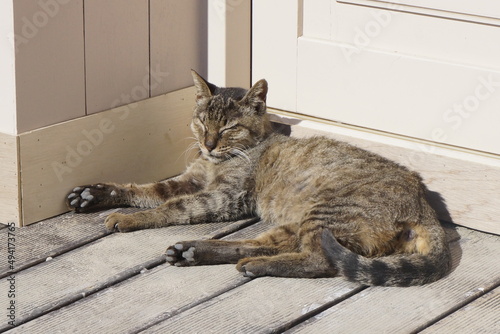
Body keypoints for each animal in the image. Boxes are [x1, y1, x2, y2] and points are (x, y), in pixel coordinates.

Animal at [64, 69, 452, 286]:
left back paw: (249, 264)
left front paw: (128, 219)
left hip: (324, 215)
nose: (207, 144)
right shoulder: (190, 179)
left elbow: (169, 208)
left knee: (318, 260)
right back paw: (193, 251)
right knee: (261, 243)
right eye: (202, 122)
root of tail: (425, 205)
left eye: (228, 128)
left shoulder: (222, 196)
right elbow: (147, 189)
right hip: (299, 220)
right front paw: (97, 193)